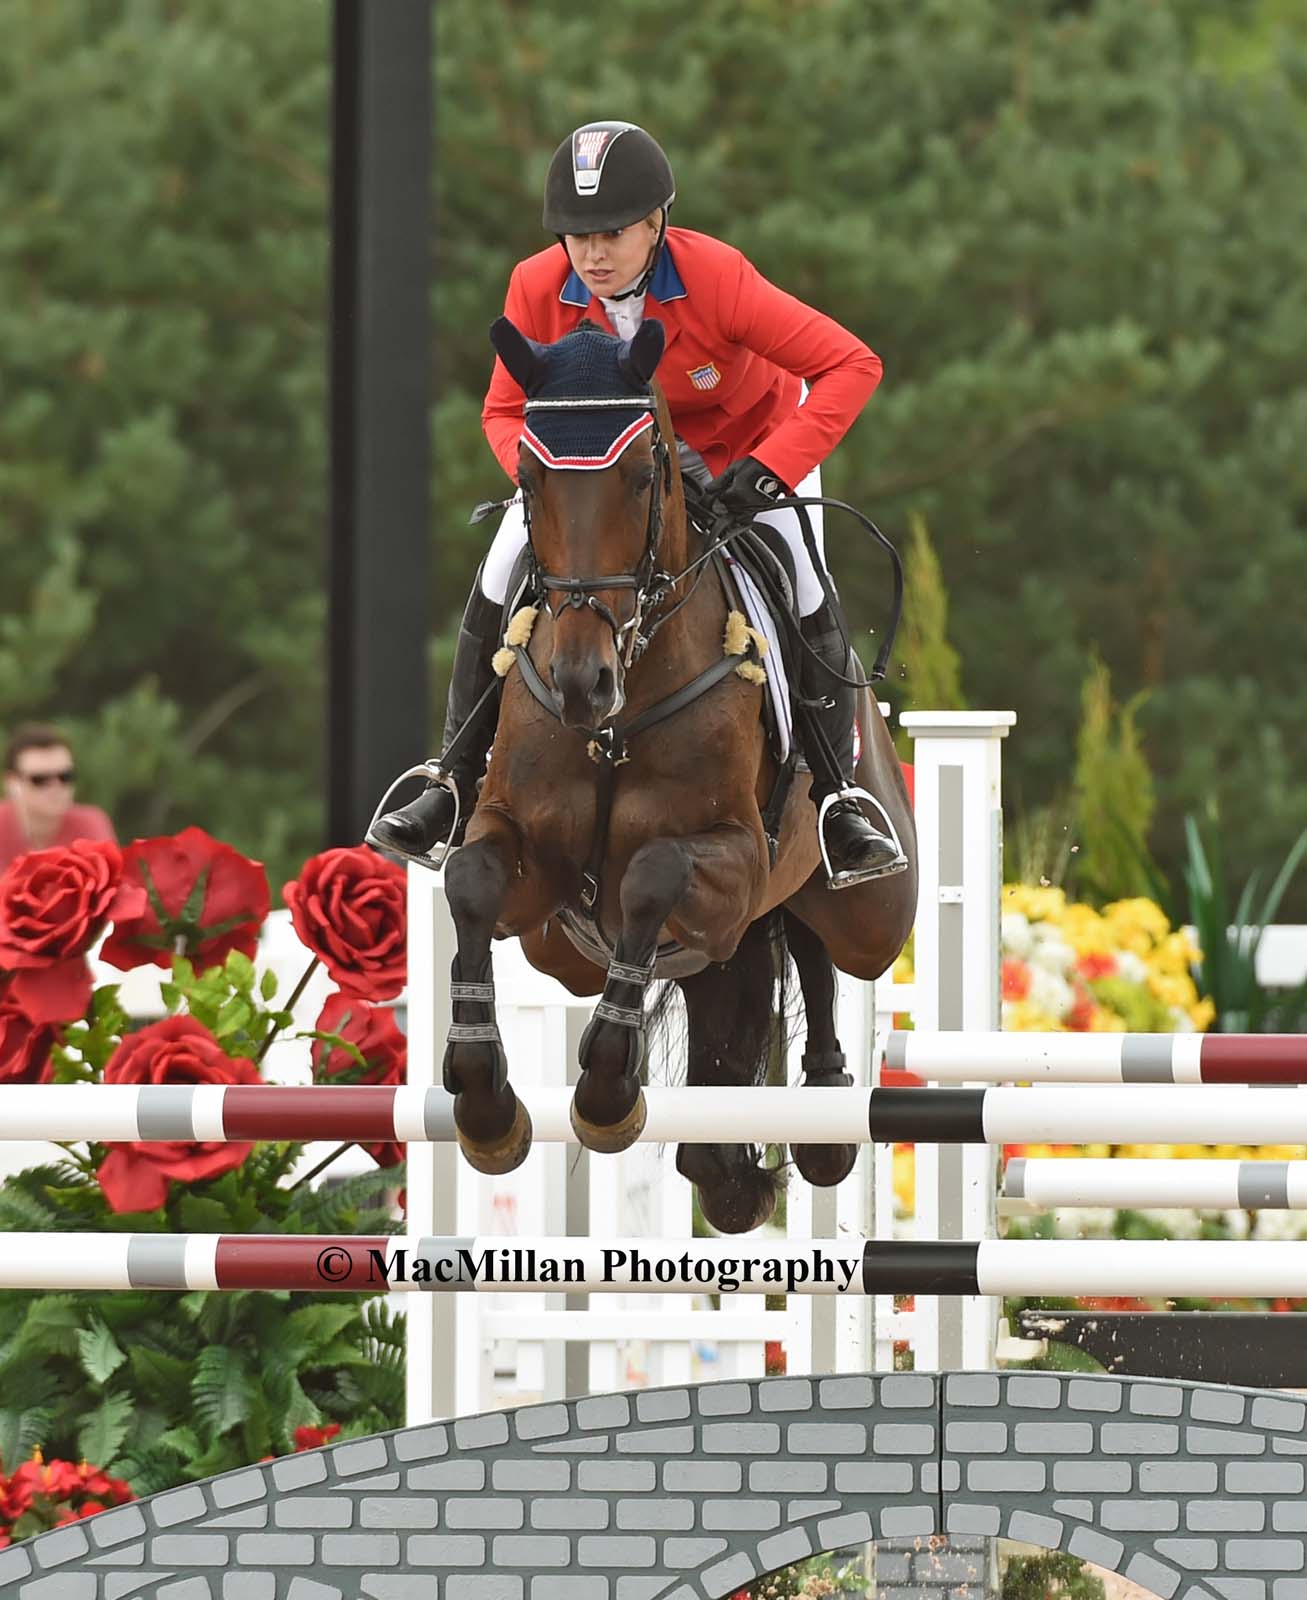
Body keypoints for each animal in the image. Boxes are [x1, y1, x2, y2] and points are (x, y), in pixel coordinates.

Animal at [444, 315, 915, 1235]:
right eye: (527, 478)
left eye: (640, 478)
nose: (581, 682)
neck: (615, 719)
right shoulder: (535, 881)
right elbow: (471, 877)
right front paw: (484, 1105)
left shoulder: (729, 854)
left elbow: (653, 873)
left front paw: (605, 1088)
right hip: (611, 953)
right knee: (734, 1003)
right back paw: (728, 1169)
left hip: (870, 915)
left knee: (815, 939)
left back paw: (823, 1113)